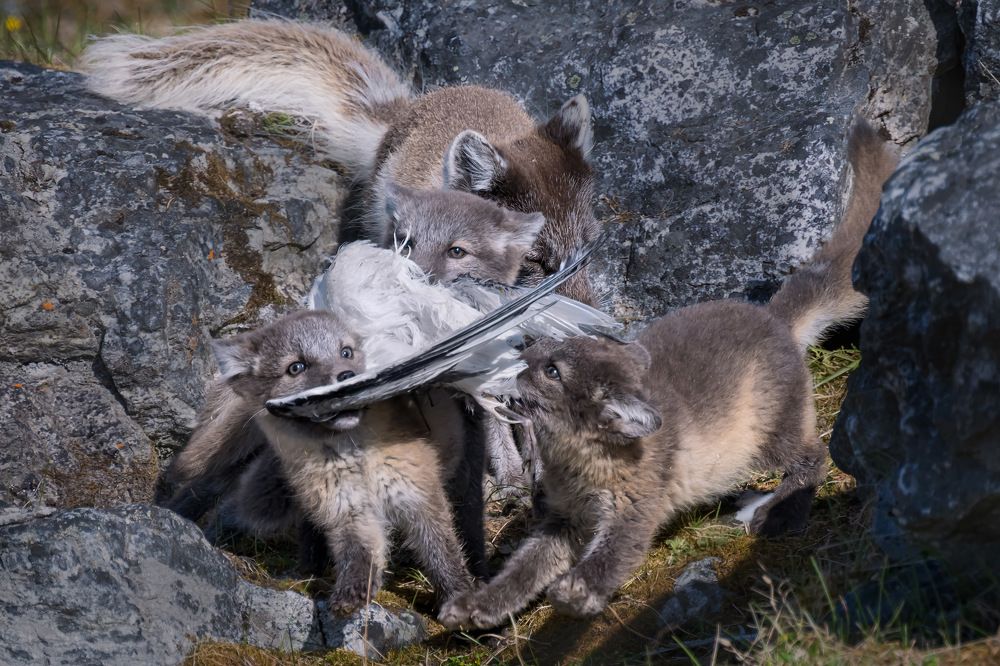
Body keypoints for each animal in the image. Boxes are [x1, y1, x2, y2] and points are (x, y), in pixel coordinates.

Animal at [439, 121, 899, 628]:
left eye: (553, 370)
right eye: (537, 350)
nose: (511, 371)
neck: (580, 469)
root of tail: (772, 317)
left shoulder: (638, 505)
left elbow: (616, 553)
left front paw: (578, 592)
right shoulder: (563, 521)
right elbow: (523, 570)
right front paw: (476, 606)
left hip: (770, 433)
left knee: (814, 456)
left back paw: (780, 515)